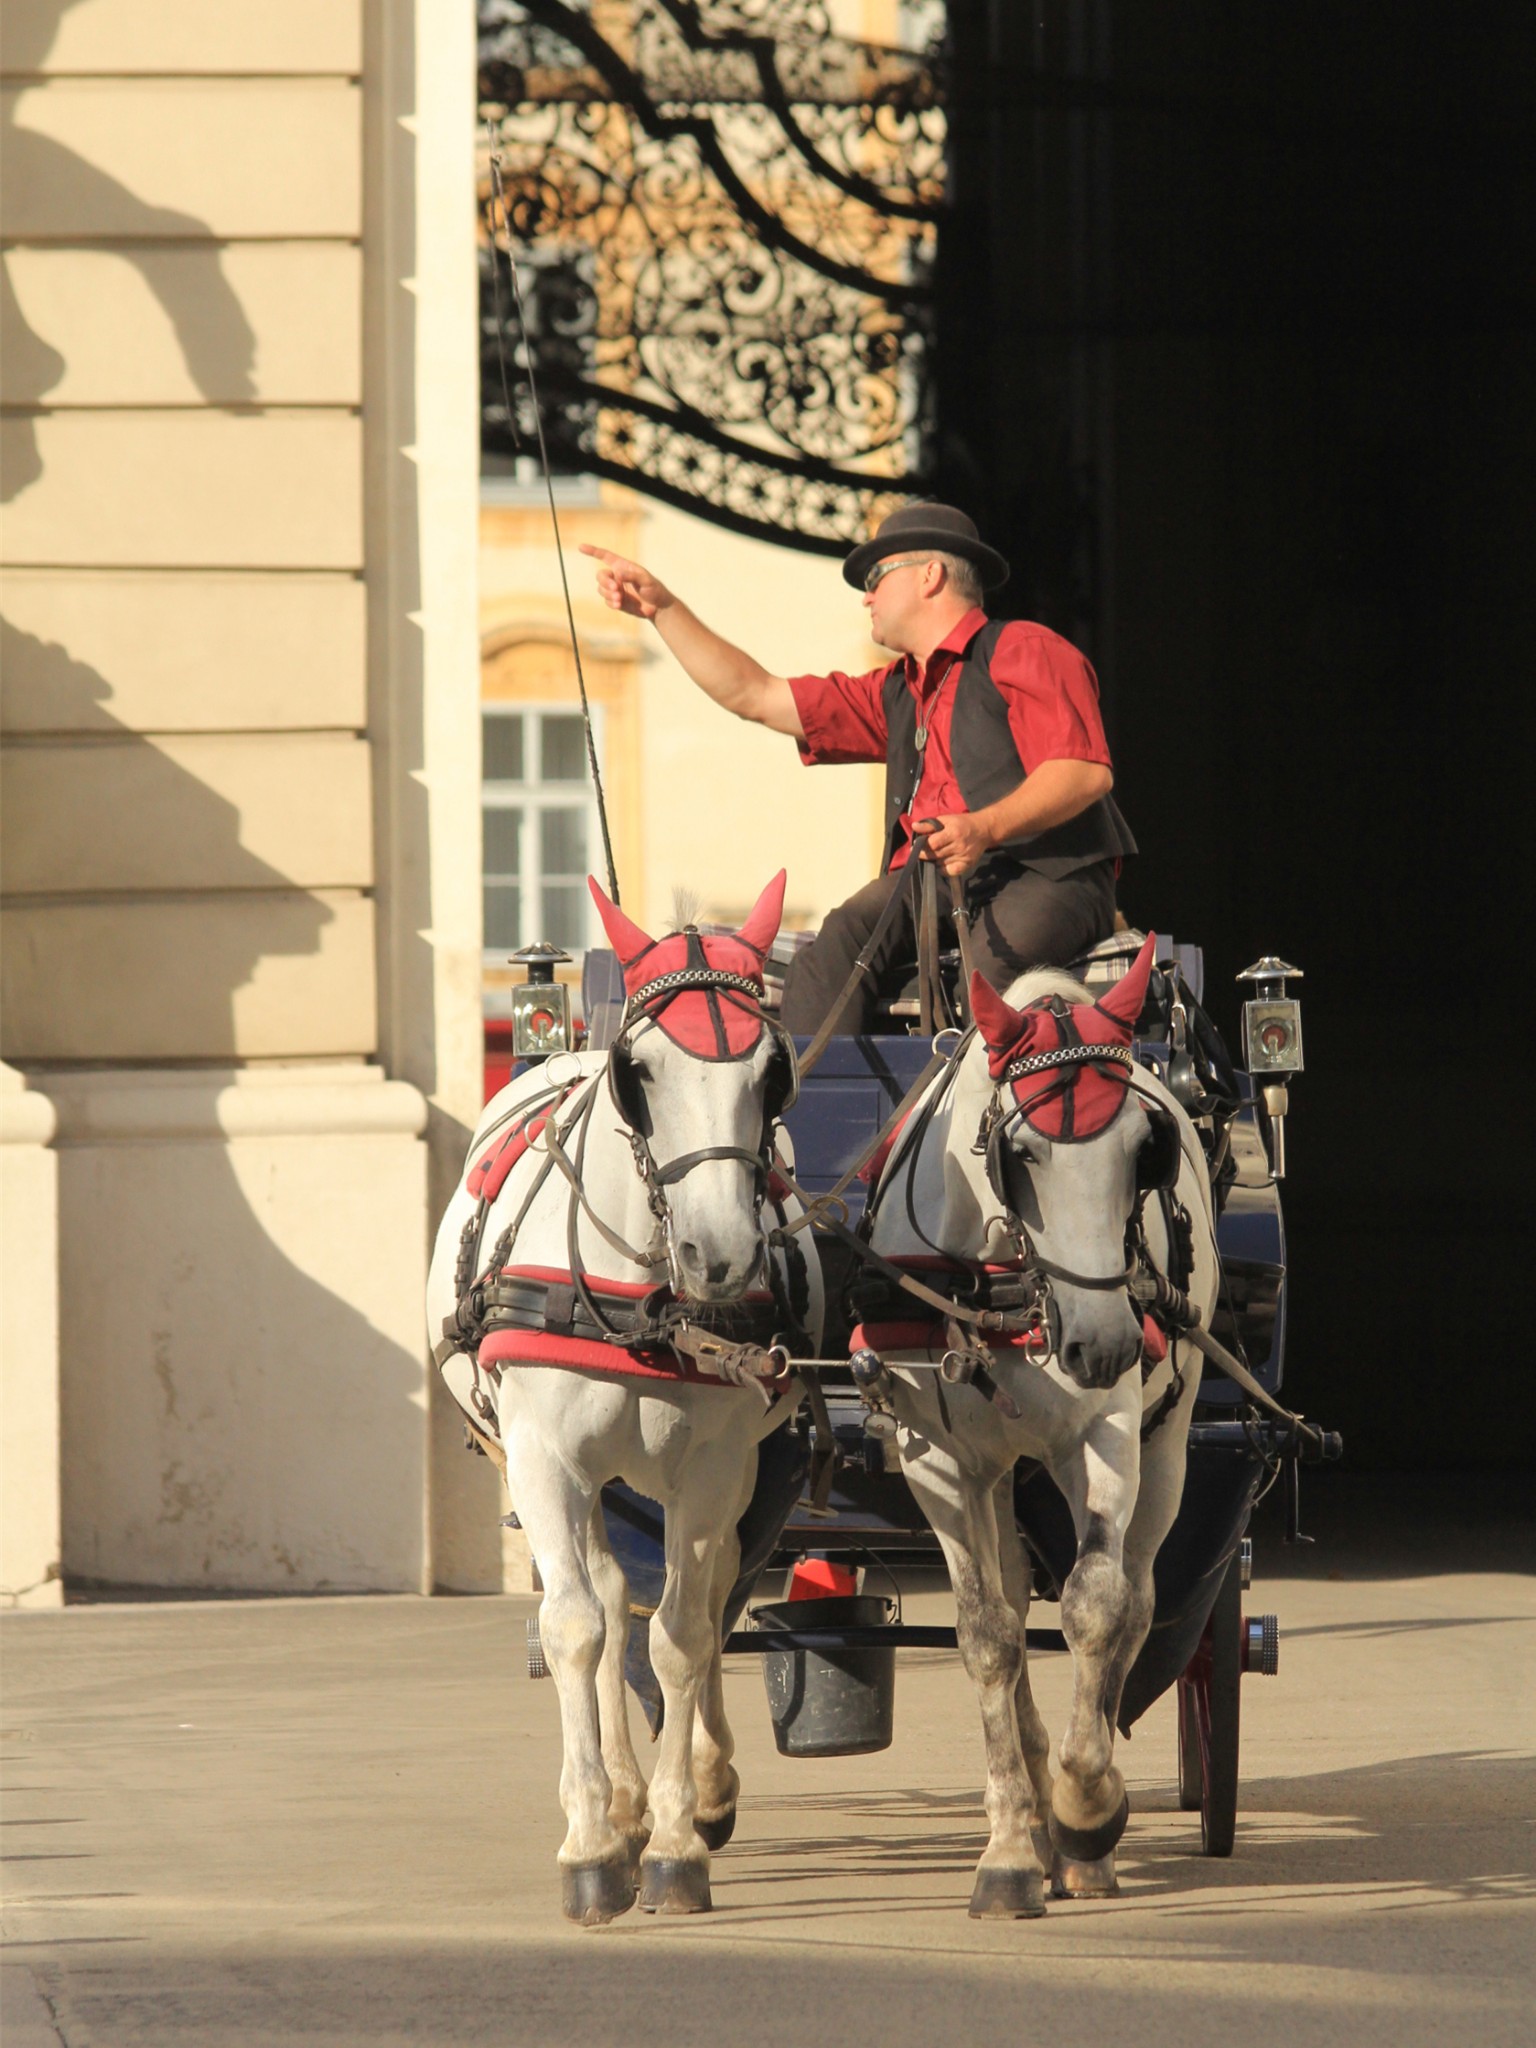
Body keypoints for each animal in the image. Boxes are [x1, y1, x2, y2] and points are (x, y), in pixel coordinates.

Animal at [428, 872, 823, 1925]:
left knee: (711, 1590)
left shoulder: (718, 1467)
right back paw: (618, 1794)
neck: (646, 1297)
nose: (719, 1256)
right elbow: (575, 1627)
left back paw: (697, 1785)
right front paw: (595, 1843)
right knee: (605, 1600)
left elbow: (685, 1634)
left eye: (773, 1070)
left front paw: (680, 1841)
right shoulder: (544, 1459)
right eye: (638, 1070)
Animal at [860, 937, 1220, 1908]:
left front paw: (1085, 1811)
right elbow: (988, 1634)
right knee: (1016, 1604)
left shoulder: (1106, 1434)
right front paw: (1013, 1846)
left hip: (1169, 1443)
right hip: (992, 1472)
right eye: (1019, 1152)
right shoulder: (939, 1465)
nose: (1103, 1342)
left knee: (1140, 1597)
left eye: (1144, 1150)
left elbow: (1098, 1607)